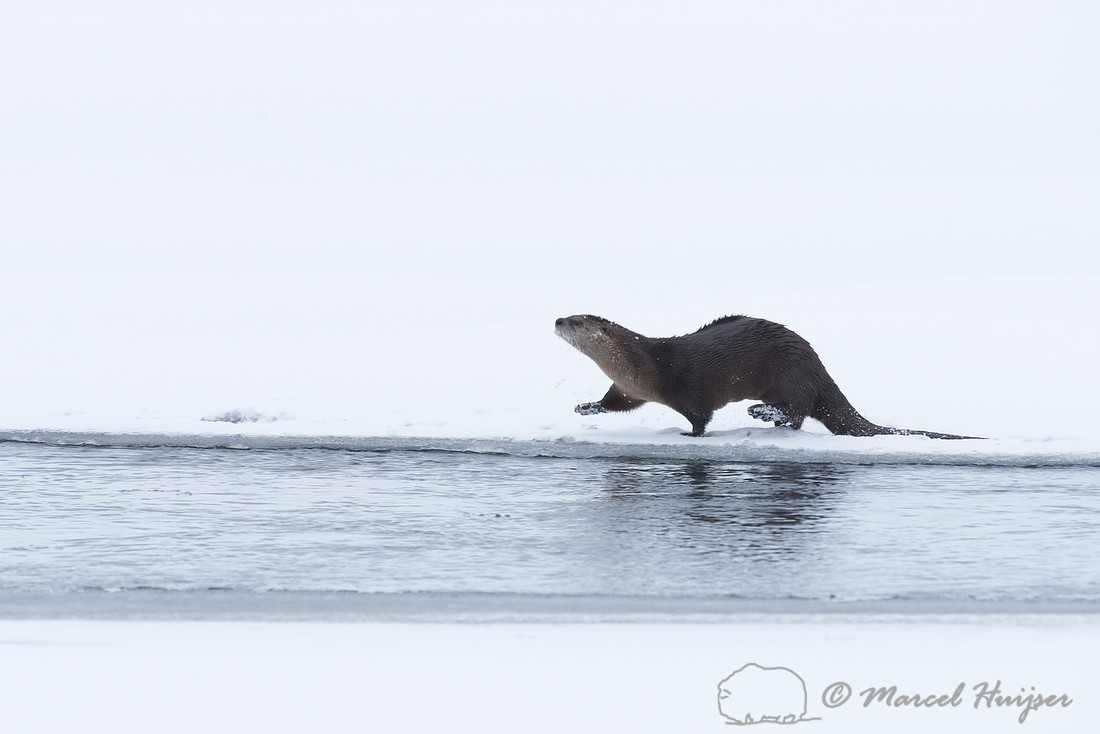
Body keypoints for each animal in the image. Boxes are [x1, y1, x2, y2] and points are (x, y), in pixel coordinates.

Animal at [555, 314, 982, 439]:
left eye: (577, 322)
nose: (557, 319)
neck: (644, 366)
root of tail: (819, 368)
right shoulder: (629, 390)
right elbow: (615, 405)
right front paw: (584, 407)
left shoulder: (686, 387)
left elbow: (700, 419)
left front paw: (688, 436)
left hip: (791, 372)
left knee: (798, 411)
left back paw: (759, 414)